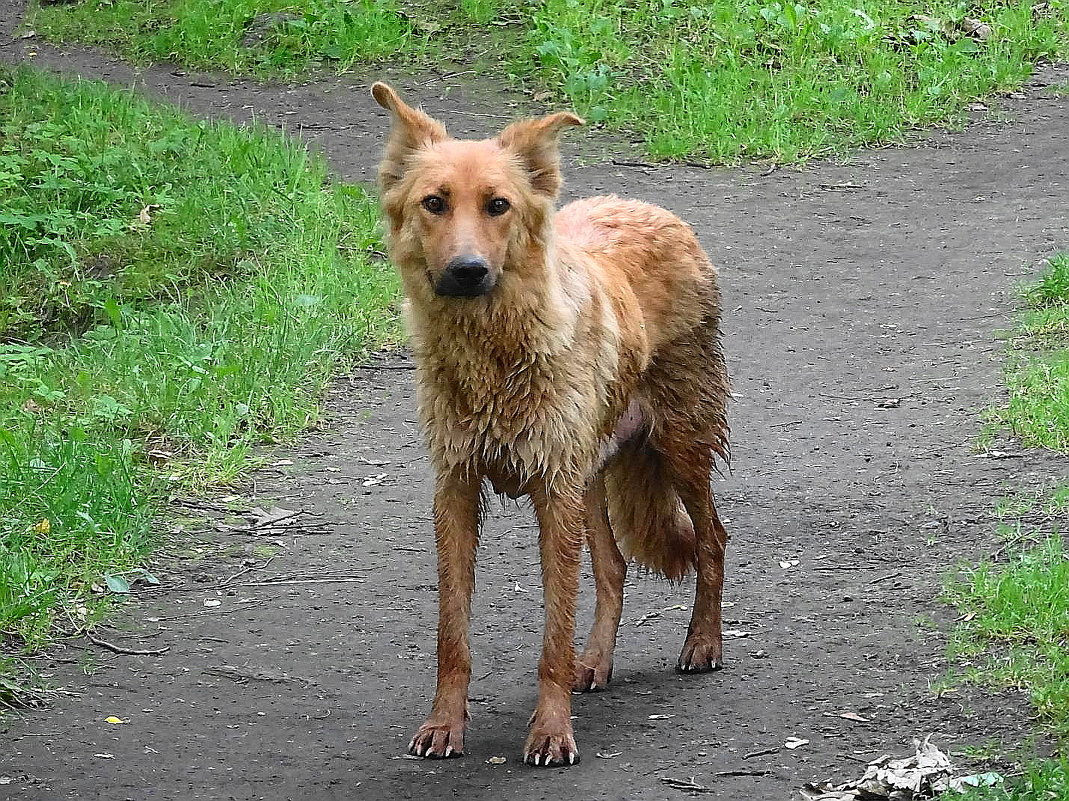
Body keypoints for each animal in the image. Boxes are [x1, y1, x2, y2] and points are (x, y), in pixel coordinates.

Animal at [372, 82, 731, 769]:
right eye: (434, 203)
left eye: (498, 205)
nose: (467, 270)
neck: (494, 353)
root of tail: (647, 206)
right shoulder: (457, 490)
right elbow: (453, 633)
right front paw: (444, 726)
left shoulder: (552, 496)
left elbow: (551, 634)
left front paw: (551, 732)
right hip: (590, 477)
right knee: (614, 570)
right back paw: (595, 662)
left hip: (680, 445)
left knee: (712, 541)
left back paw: (703, 644)